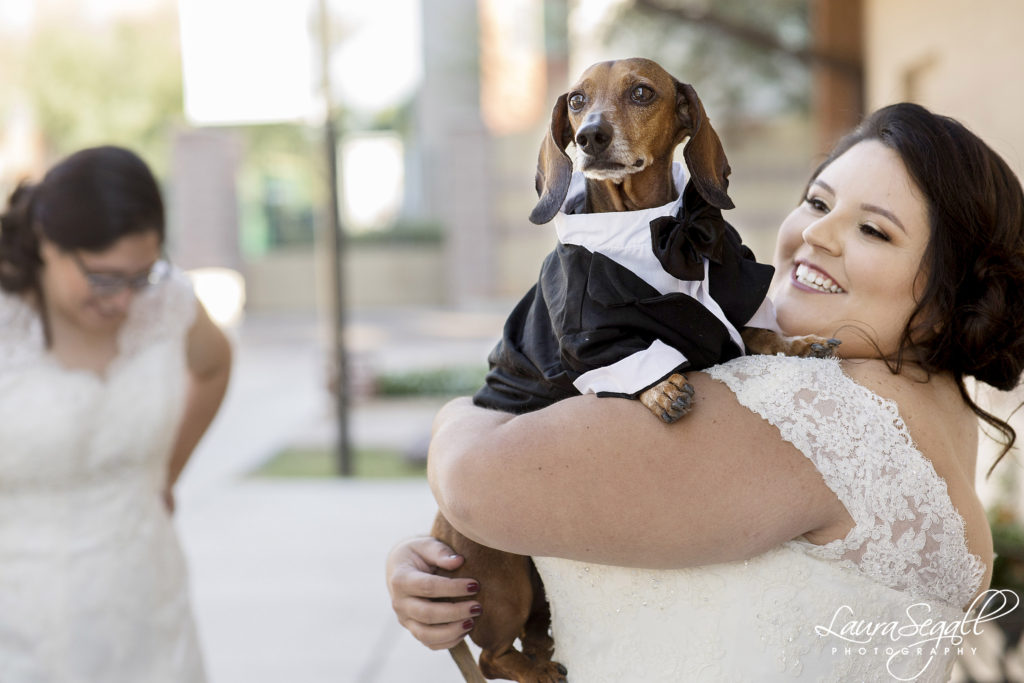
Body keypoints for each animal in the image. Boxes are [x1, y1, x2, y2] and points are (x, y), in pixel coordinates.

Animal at [430, 57, 831, 683]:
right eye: (576, 100)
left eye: (642, 92)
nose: (591, 137)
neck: (651, 230)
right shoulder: (592, 333)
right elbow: (627, 358)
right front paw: (662, 388)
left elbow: (756, 333)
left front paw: (799, 343)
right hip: (504, 576)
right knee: (494, 656)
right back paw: (540, 668)